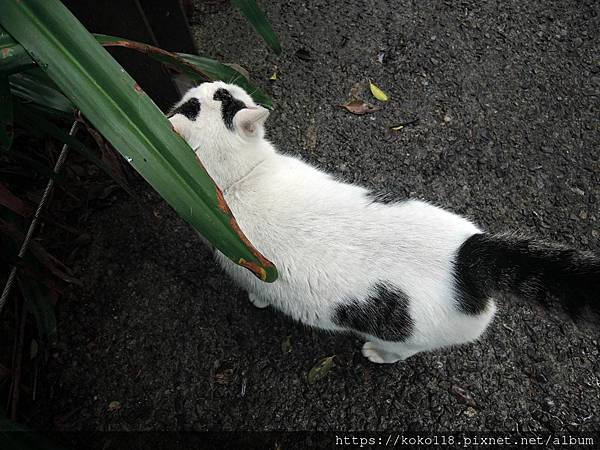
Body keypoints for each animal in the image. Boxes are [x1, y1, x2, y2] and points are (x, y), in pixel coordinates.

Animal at [169, 80, 600, 362]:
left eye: (208, 97)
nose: (211, 77)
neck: (240, 180)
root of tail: (465, 258)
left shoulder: (246, 265)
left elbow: (258, 293)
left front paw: (257, 302)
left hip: (408, 337)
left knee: (404, 351)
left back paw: (377, 352)